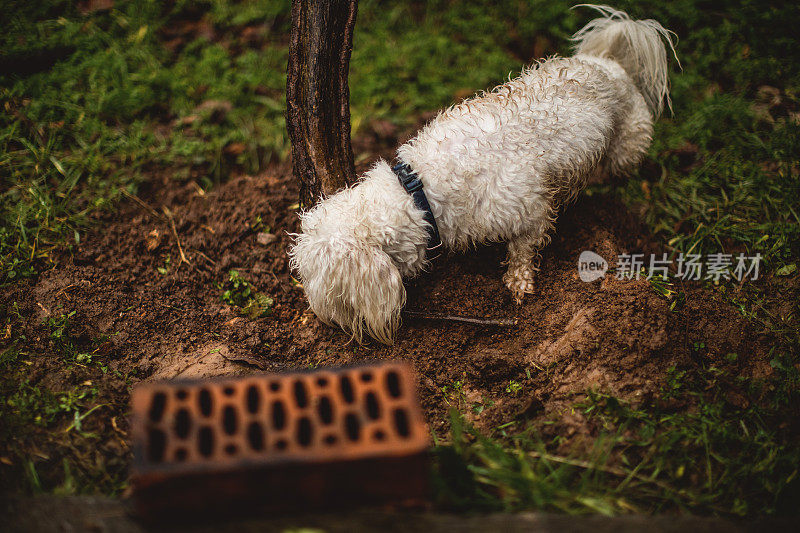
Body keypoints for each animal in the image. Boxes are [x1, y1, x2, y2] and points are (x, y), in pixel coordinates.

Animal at [288, 6, 676, 342]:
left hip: (626, 148)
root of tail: (610, 63)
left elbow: (523, 251)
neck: (419, 190)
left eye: (327, 289)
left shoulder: (530, 209)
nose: (322, 319)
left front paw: (518, 284)